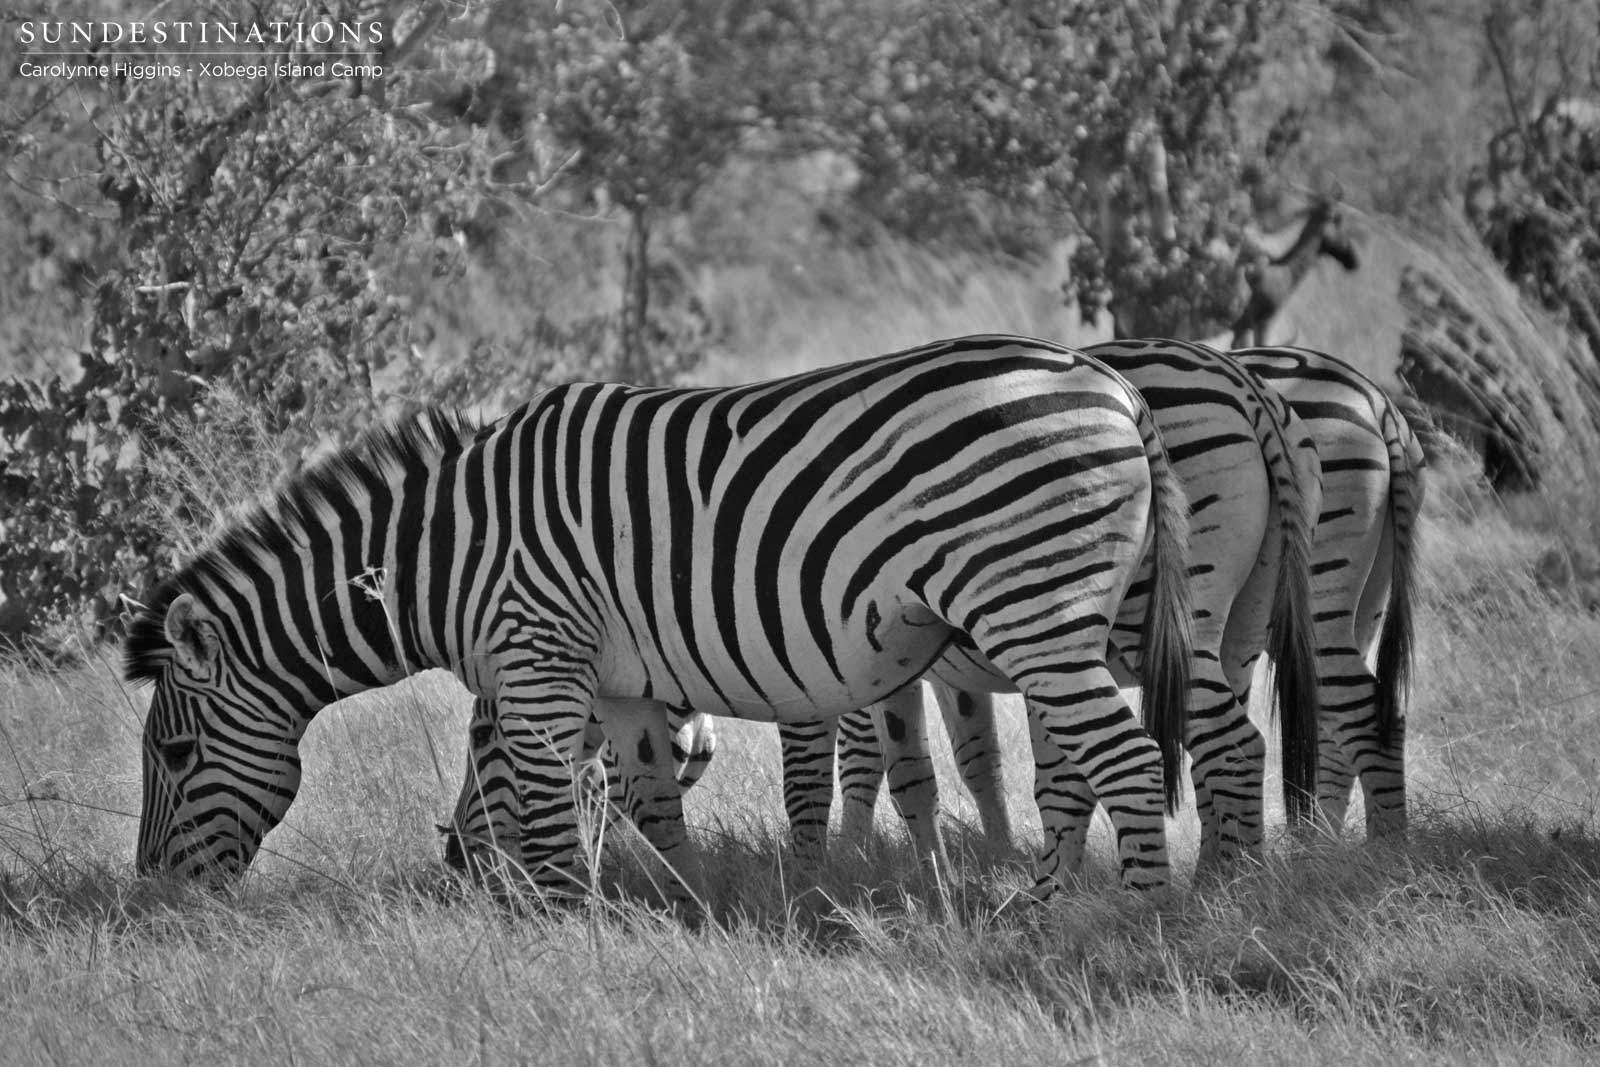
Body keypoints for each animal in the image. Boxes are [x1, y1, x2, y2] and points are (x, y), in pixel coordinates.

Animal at [126, 335, 1194, 897]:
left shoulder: (539, 658)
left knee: (1130, 763)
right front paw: (694, 913)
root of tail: (1110, 384)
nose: (156, 897)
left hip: (1035, 610)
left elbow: (550, 808)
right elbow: (645, 800)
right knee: (1085, 769)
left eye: (173, 754)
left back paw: (1120, 922)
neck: (449, 550)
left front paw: (560, 924)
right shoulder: (622, 685)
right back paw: (1047, 906)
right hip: (1065, 620)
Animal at [814, 342, 1422, 849]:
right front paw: (998, 854)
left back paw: (1371, 850)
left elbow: (866, 760)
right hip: (1343, 605)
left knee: (1353, 712)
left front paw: (848, 856)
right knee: (1335, 724)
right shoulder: (943, 669)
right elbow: (977, 757)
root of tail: (1376, 400)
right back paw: (1323, 848)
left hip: (1307, 602)